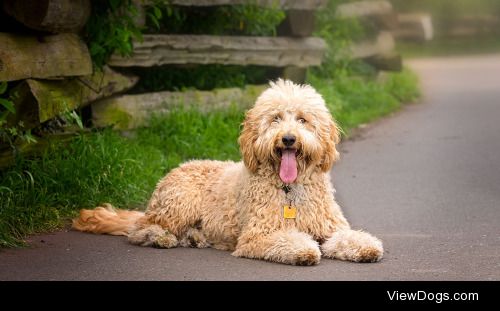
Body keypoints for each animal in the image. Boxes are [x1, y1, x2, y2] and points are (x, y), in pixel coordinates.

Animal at [73, 80, 382, 266]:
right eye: (275, 119)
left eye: (303, 119)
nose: (288, 139)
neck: (289, 189)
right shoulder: (257, 236)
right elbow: (290, 241)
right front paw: (304, 250)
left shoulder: (329, 228)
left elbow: (347, 237)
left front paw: (366, 246)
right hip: (178, 203)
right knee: (139, 229)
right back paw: (160, 238)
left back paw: (195, 238)